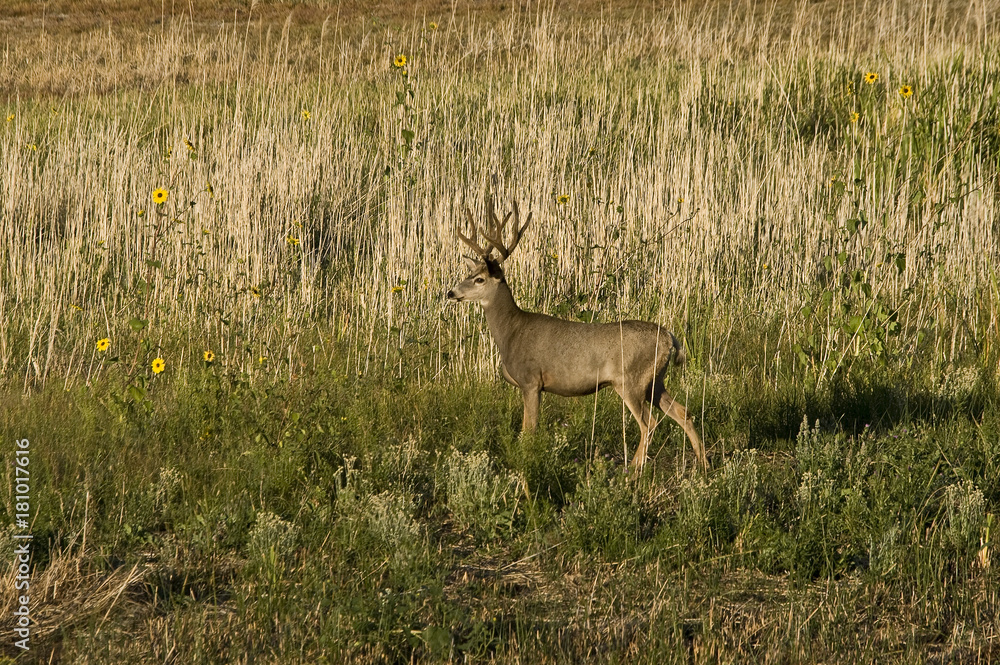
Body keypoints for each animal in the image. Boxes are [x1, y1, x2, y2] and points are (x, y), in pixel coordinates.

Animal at [446, 197, 708, 472]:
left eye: (479, 279)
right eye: (468, 274)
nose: (451, 293)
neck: (511, 332)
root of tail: (669, 336)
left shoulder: (531, 381)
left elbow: (528, 431)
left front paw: (527, 465)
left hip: (631, 380)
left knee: (649, 423)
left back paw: (633, 471)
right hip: (655, 380)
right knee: (682, 412)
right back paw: (703, 465)